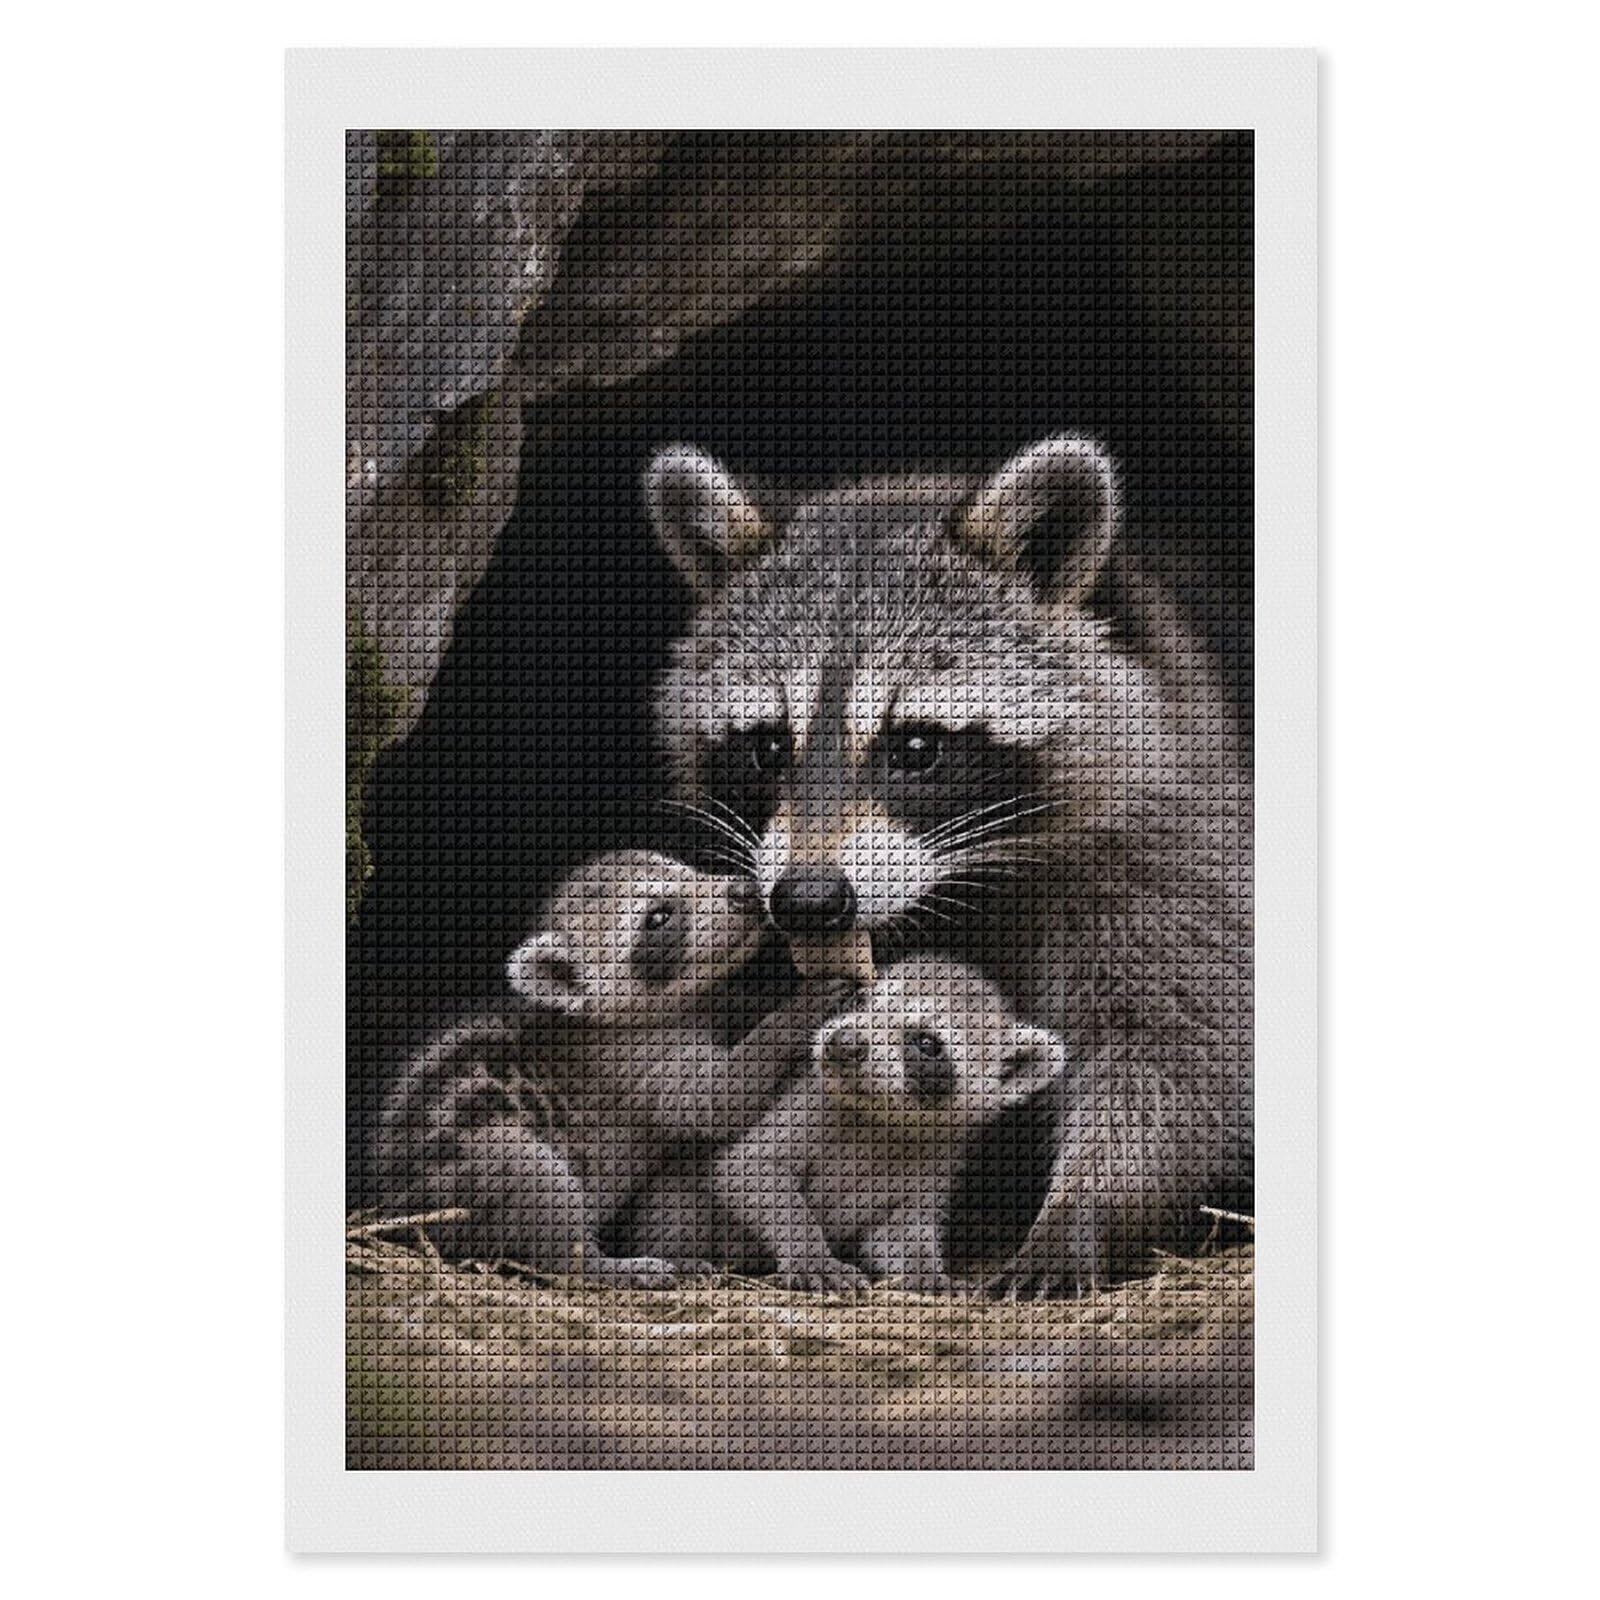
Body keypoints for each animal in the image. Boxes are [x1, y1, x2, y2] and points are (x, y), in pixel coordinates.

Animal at [372, 849, 769, 1286]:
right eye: (658, 917)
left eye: (692, 870)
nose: (745, 891)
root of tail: (394, 1208)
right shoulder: (633, 1064)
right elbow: (716, 1098)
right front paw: (795, 1016)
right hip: (469, 1165)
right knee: (536, 1182)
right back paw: (601, 1265)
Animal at [708, 959, 1067, 1293]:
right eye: (860, 999)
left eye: (927, 1043)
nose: (844, 1042)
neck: (881, 1121)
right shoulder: (803, 1108)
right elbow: (750, 1168)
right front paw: (810, 1251)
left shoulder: (935, 1167)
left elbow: (900, 1232)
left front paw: (925, 1268)